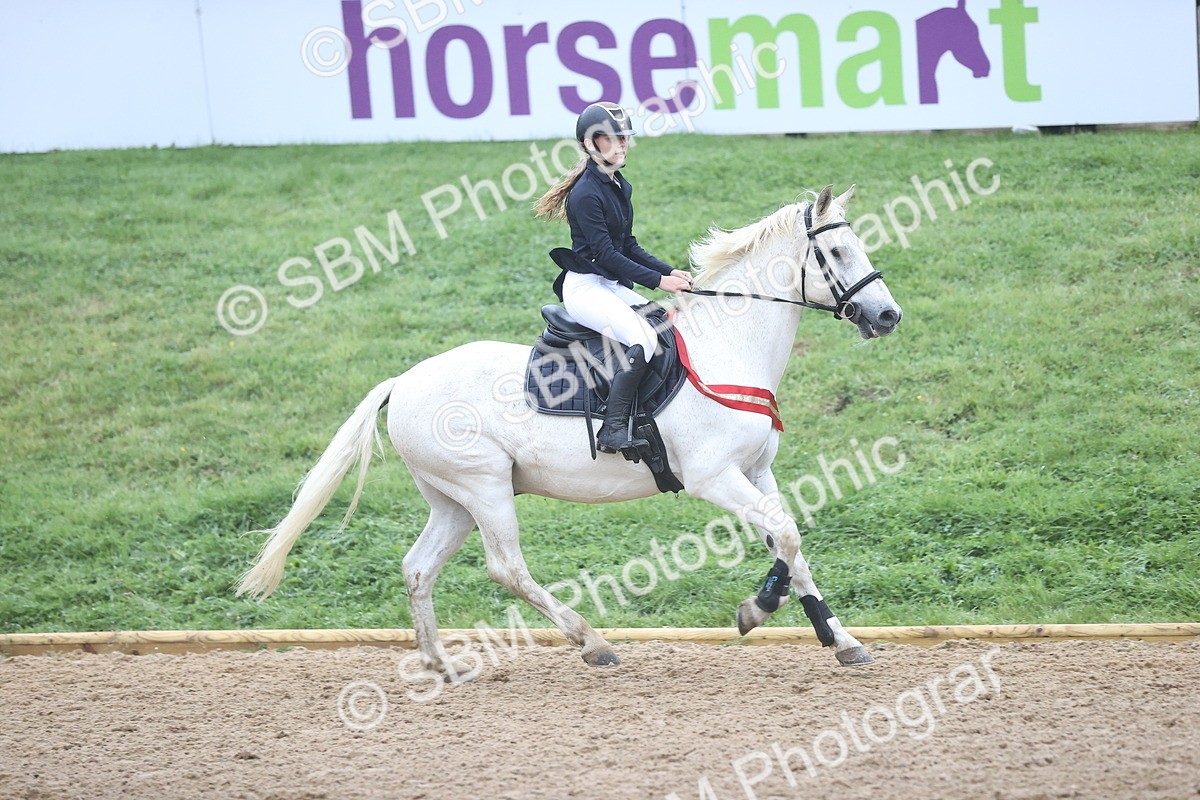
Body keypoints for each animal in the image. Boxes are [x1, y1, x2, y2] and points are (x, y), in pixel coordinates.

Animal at [236, 184, 903, 673]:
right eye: (837, 254)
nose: (888, 315)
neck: (727, 349)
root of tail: (402, 382)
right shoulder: (714, 477)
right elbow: (785, 536)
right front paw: (756, 610)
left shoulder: (756, 471)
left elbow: (791, 545)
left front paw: (840, 640)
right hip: (484, 488)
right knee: (505, 568)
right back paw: (592, 642)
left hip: (451, 499)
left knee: (418, 568)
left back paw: (441, 665)